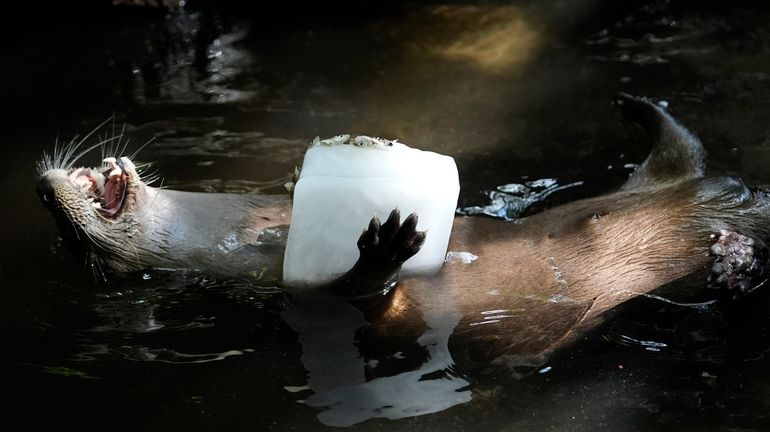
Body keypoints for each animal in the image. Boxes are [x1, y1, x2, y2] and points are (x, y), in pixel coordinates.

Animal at [34, 94, 768, 368]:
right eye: (72, 243)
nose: (42, 192)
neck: (240, 235)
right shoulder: (302, 296)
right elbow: (363, 298)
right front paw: (384, 246)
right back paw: (733, 264)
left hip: (665, 184)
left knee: (679, 156)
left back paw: (647, 112)